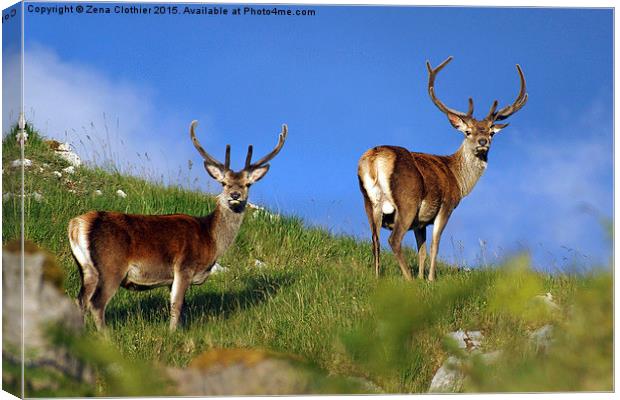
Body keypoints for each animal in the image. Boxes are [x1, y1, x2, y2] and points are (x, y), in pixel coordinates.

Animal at [68, 120, 288, 330]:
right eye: (224, 183)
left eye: (247, 184)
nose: (235, 195)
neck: (211, 240)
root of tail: (77, 224)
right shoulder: (184, 266)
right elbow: (177, 305)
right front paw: (172, 333)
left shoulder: (170, 279)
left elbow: (179, 306)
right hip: (111, 265)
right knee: (97, 303)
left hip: (87, 269)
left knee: (80, 301)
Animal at [358, 56, 528, 282]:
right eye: (468, 131)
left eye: (491, 132)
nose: (483, 141)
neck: (458, 178)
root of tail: (376, 157)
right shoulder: (447, 205)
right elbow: (435, 245)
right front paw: (430, 279)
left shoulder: (420, 222)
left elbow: (421, 249)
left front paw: (422, 277)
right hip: (407, 199)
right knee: (393, 240)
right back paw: (408, 279)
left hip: (369, 202)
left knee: (374, 241)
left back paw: (378, 278)